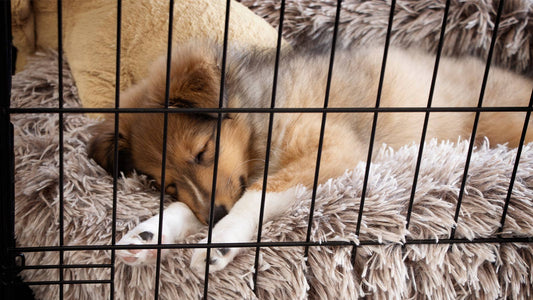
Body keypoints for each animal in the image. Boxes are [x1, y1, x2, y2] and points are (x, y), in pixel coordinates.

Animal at [88, 41, 532, 274]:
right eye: (165, 183)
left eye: (203, 151)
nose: (213, 217)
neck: (261, 113)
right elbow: (192, 205)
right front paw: (147, 235)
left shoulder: (332, 149)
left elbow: (258, 195)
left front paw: (221, 240)